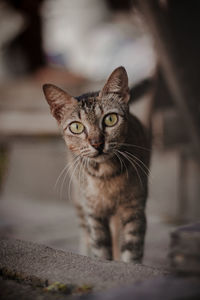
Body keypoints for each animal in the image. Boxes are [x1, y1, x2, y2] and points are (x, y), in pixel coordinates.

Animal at [43, 66, 151, 262]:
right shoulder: (93, 214)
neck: (106, 174)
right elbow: (100, 250)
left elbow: (131, 252)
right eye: (76, 127)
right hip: (79, 199)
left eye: (110, 119)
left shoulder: (134, 208)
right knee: (85, 234)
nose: (97, 143)